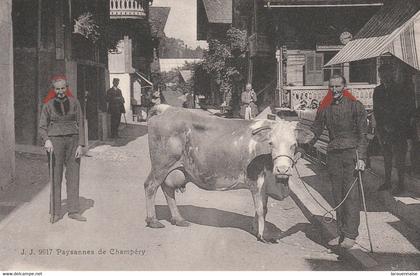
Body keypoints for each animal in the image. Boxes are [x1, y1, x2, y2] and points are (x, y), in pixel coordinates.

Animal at [146, 104, 314, 243]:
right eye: (271, 143)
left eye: (294, 145)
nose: (282, 170)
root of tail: (167, 109)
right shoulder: (255, 180)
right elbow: (260, 209)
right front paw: (262, 236)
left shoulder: (265, 184)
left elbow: (264, 209)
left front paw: (255, 228)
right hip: (161, 165)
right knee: (150, 186)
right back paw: (152, 220)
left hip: (172, 168)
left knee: (167, 189)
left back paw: (178, 219)